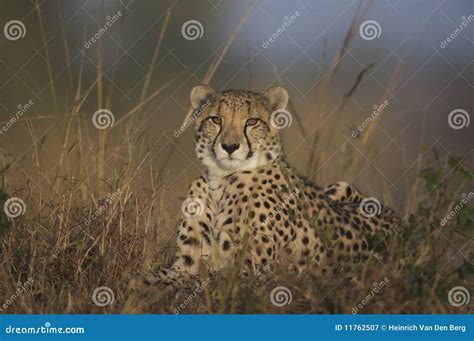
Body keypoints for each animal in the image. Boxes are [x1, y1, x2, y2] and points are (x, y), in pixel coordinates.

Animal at [147, 85, 400, 284]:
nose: (230, 146)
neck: (220, 180)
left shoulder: (249, 269)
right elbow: (163, 275)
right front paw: (145, 281)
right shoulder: (186, 262)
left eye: (252, 122)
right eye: (216, 120)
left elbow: (192, 281)